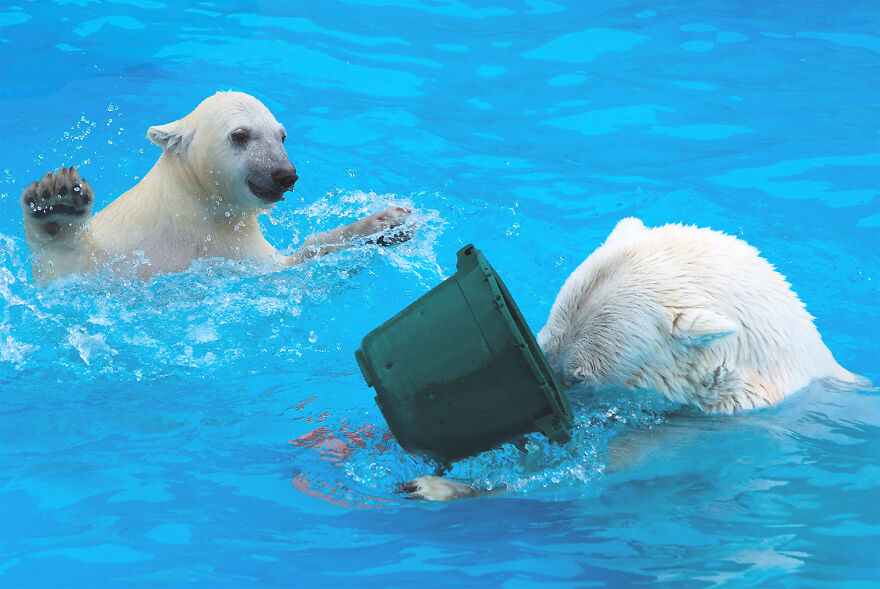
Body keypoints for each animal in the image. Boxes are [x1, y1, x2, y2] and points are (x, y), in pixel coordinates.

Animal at [20, 91, 411, 284]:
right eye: (240, 135)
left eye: (282, 136)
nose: (286, 174)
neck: (193, 208)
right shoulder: (123, 249)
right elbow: (69, 271)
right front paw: (55, 205)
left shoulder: (237, 246)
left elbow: (289, 265)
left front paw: (389, 224)